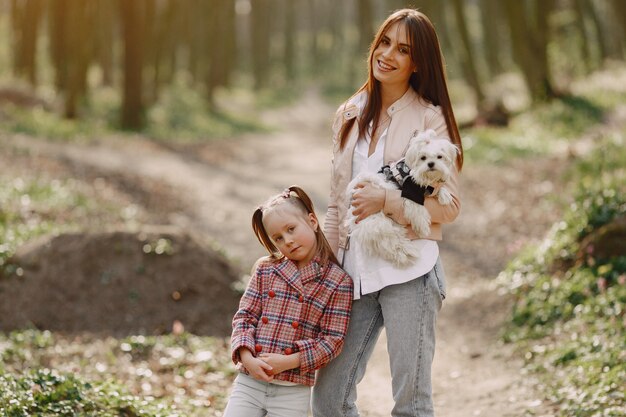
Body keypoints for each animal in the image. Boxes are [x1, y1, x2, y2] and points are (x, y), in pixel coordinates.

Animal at [344, 130, 456, 266]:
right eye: (423, 158)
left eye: (439, 157)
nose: (431, 164)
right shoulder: (409, 191)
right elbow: (417, 209)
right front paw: (423, 228)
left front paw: (444, 195)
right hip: (378, 221)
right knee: (389, 241)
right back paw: (407, 253)